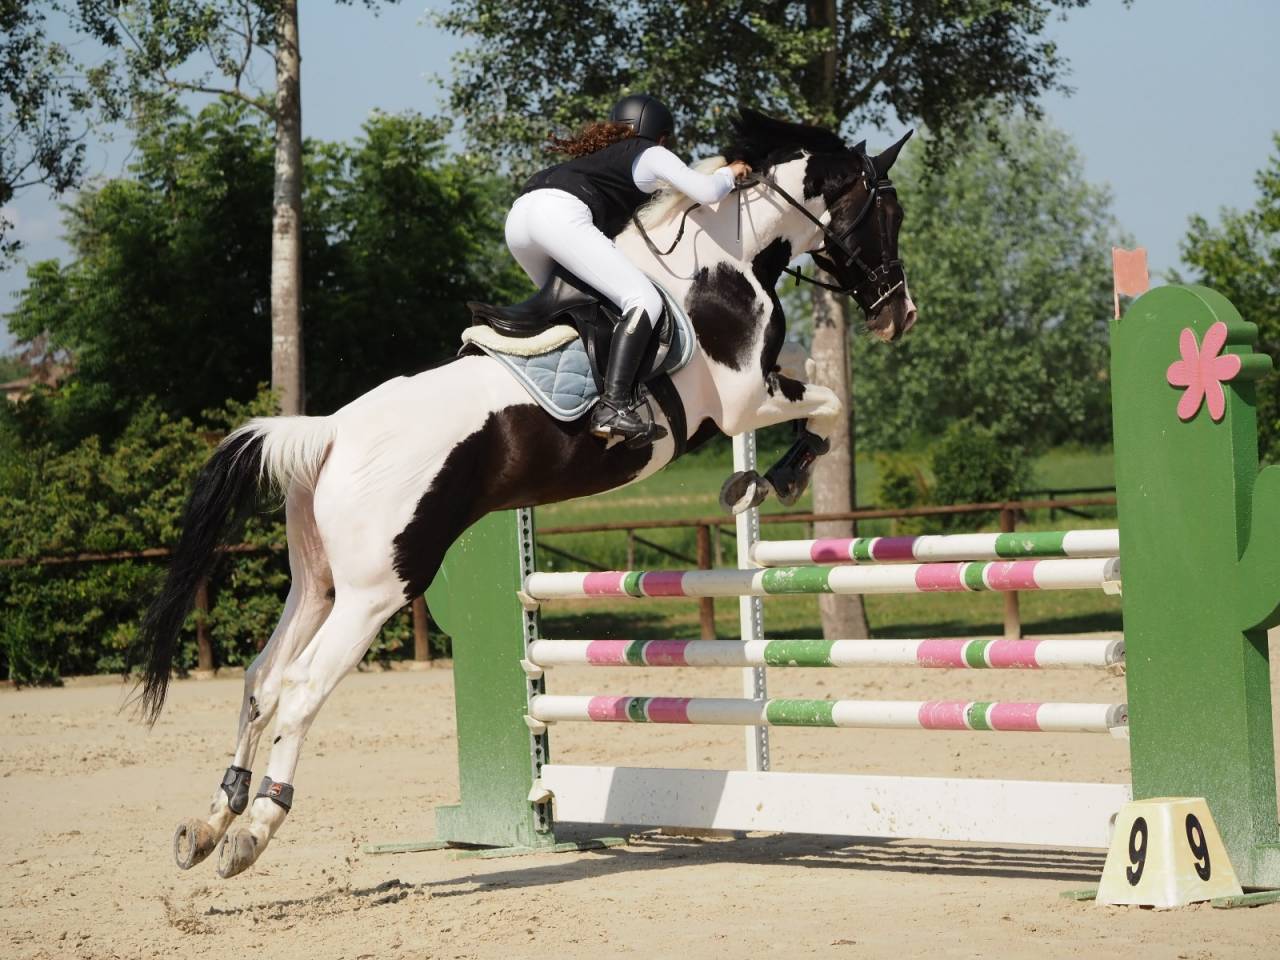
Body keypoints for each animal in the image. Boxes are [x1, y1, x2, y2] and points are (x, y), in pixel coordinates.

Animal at [137, 109, 917, 879]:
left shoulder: (757, 390)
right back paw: (253, 831)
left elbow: (819, 388)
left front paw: (760, 477)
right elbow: (829, 402)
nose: (899, 315)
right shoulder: (742, 401)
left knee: (262, 680)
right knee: (300, 688)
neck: (719, 258)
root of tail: (330, 432)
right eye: (890, 212)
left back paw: (211, 822)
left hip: (319, 583)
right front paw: (770, 477)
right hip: (376, 591)